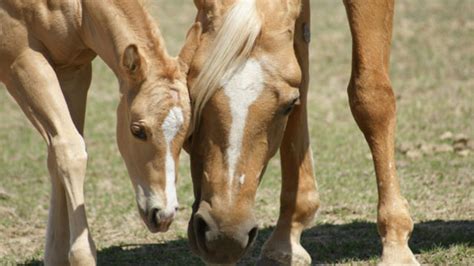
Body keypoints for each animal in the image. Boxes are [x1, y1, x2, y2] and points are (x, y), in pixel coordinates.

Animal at [0, 0, 198, 266]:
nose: (163, 215)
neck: (80, 8)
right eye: (137, 130)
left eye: (187, 134)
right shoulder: (20, 59)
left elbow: (57, 152)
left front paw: (56, 254)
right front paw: (82, 255)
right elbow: (71, 149)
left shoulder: (72, 69)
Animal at [181, 0, 418, 264]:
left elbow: (371, 97)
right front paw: (286, 239)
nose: (225, 237)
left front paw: (396, 248)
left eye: (287, 106)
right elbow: (302, 83)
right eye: (192, 94)